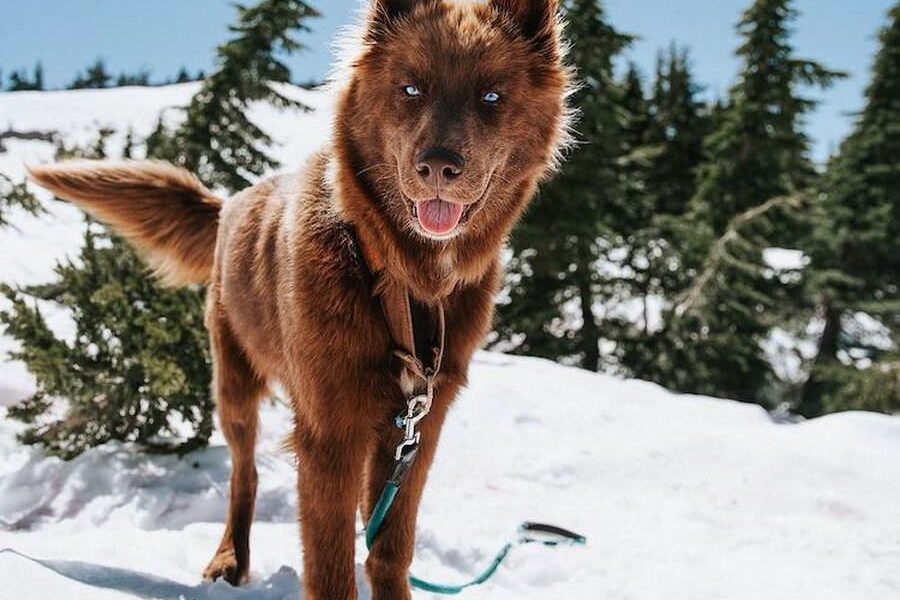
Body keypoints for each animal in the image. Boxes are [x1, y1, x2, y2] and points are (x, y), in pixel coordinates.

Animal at [31, 2, 572, 596]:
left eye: (491, 96)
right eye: (411, 89)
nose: (438, 167)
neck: (397, 278)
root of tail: (229, 204)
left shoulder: (420, 429)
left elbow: (390, 547)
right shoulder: (329, 431)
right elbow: (331, 563)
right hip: (234, 383)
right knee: (244, 473)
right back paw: (230, 559)